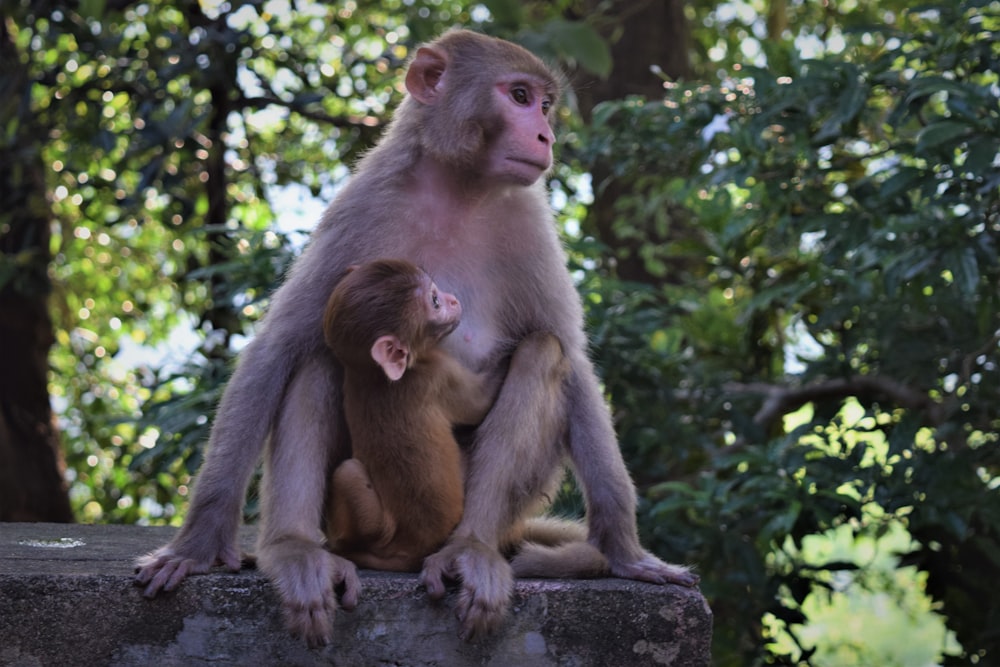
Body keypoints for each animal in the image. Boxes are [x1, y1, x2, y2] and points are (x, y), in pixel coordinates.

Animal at [322, 258, 494, 572]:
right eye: (435, 301)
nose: (452, 299)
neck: (373, 374)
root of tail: (406, 550)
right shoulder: (439, 372)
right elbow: (481, 403)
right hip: (378, 526)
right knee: (348, 471)